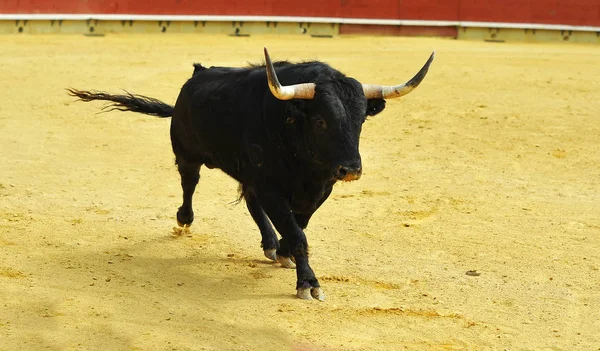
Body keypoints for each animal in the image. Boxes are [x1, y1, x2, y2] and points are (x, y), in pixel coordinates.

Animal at [68, 48, 434, 302]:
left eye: (361, 121)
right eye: (320, 120)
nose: (351, 170)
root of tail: (195, 77)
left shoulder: (317, 188)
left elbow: (298, 226)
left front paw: (284, 251)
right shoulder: (271, 184)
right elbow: (298, 234)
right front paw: (309, 284)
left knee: (251, 204)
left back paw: (271, 245)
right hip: (187, 153)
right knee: (189, 183)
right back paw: (184, 219)